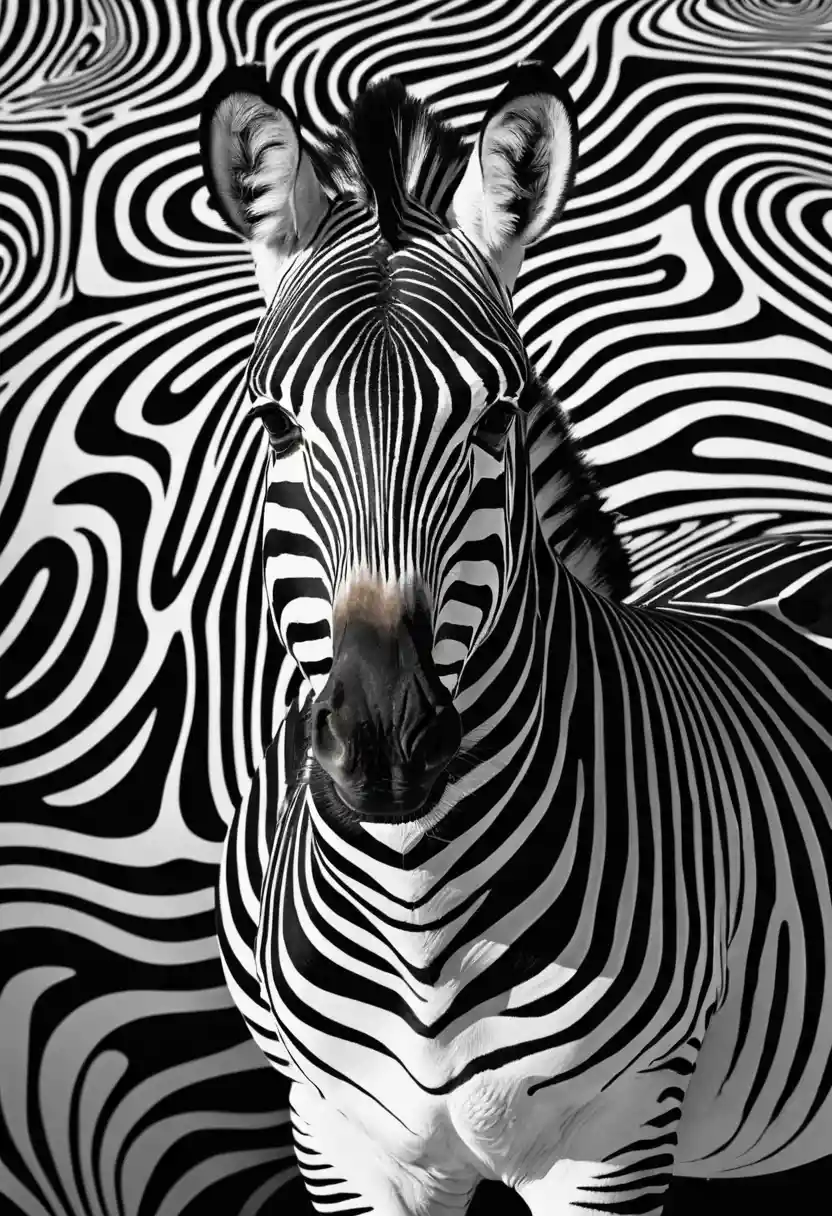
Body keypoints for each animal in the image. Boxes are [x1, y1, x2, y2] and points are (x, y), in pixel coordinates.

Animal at [199, 60, 832, 1214]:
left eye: (494, 420)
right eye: (275, 424)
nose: (383, 746)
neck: (421, 914)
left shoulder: (615, 1136)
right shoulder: (339, 1141)